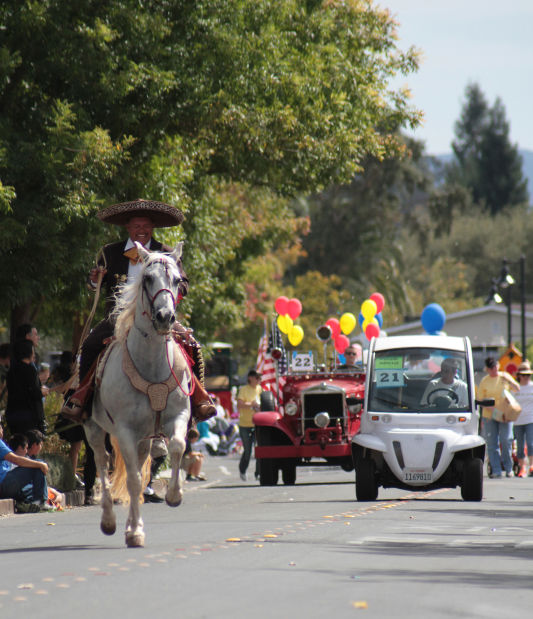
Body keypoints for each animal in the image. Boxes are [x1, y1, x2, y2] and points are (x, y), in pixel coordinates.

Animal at [86, 242, 194, 548]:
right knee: (102, 465)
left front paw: (174, 496)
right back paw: (110, 522)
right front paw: (134, 532)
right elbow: (132, 480)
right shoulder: (124, 429)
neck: (151, 364)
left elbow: (178, 446)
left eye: (178, 280)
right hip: (94, 429)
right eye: (147, 279)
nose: (165, 317)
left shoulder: (179, 415)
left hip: (145, 436)